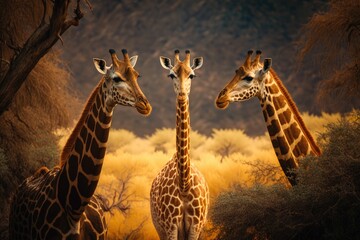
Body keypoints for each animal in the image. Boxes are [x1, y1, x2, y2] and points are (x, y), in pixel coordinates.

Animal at [150, 49, 210, 239]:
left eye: (192, 75)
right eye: (171, 74)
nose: (182, 94)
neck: (184, 184)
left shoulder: (196, 226)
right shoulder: (170, 226)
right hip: (159, 228)